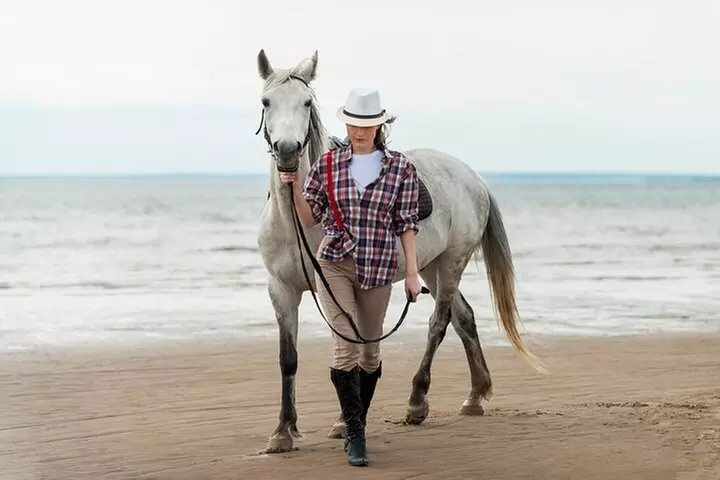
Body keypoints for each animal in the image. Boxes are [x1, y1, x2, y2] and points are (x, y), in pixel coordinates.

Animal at [254, 49, 545, 454]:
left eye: (307, 103)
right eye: (266, 102)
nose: (287, 151)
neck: (297, 218)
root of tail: (473, 178)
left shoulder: (335, 288)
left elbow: (350, 345)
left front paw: (342, 422)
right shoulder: (280, 289)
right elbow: (288, 358)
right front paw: (283, 431)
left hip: (451, 264)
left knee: (440, 323)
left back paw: (417, 401)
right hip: (430, 268)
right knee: (465, 317)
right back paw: (475, 395)